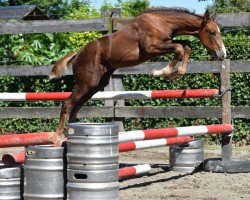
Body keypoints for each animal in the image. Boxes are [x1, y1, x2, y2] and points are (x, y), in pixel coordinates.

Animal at [49, 8, 227, 136]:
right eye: (212, 32)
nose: (223, 54)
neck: (161, 22)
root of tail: (77, 54)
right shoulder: (150, 48)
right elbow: (179, 48)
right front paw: (162, 72)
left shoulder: (166, 43)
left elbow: (185, 46)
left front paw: (175, 73)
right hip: (86, 83)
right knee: (67, 104)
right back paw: (58, 136)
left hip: (95, 86)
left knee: (76, 107)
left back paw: (71, 132)